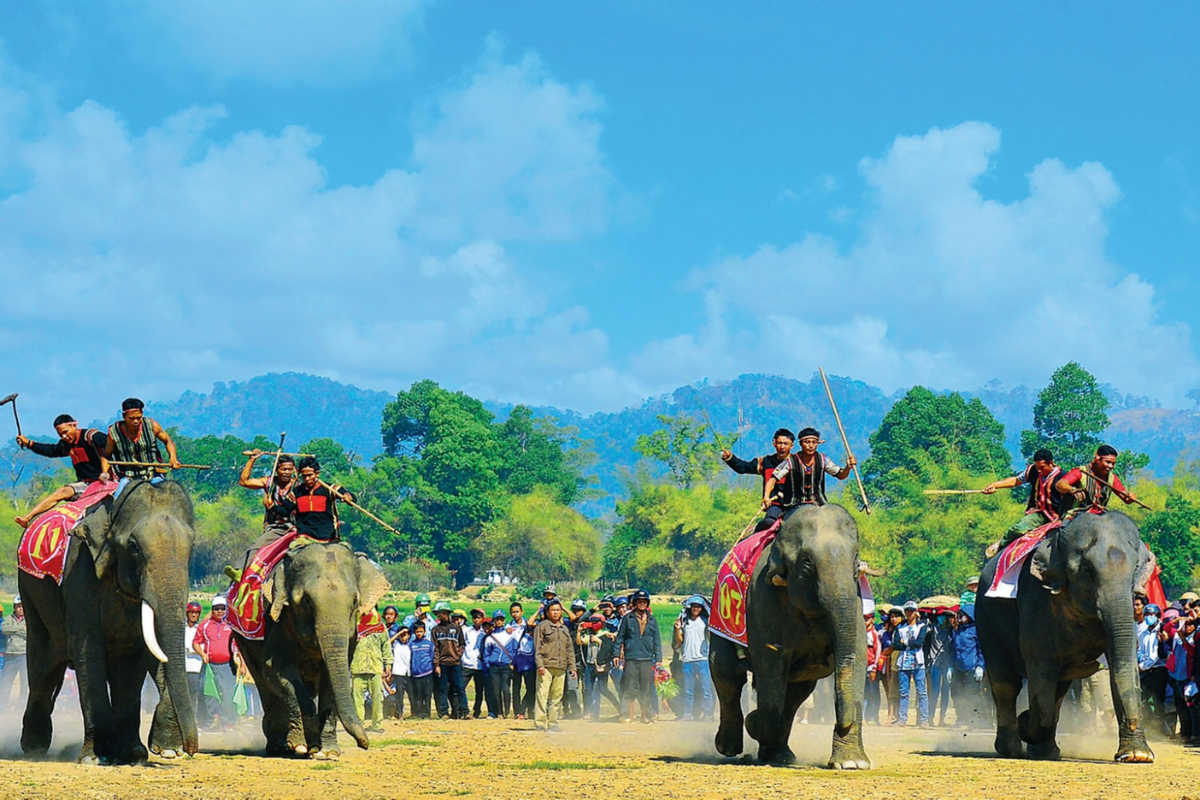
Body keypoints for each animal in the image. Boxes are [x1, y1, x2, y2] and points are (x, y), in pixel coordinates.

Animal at [18, 479, 199, 767]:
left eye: (191, 547)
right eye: (134, 547)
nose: (192, 749)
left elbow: (136, 662)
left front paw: (136, 754)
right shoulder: (79, 573)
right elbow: (88, 652)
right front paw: (96, 757)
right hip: (31, 597)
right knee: (42, 669)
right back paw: (34, 747)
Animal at [231, 537, 386, 758]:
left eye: (355, 601)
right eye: (306, 601)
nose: (365, 744)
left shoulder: (351, 636)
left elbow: (332, 680)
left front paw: (327, 752)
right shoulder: (276, 621)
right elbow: (276, 671)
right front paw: (303, 745)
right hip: (244, 638)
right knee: (264, 684)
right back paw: (279, 745)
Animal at [705, 506, 868, 767]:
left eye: (855, 559)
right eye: (807, 562)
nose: (841, 724)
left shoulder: (857, 600)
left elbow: (857, 660)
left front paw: (852, 763)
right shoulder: (764, 599)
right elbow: (771, 662)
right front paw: (754, 722)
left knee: (796, 692)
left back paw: (779, 755)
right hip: (719, 616)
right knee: (727, 673)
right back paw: (730, 747)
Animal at [979, 510, 1156, 767]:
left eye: (1135, 570)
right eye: (1088, 571)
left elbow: (1124, 666)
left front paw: (1137, 756)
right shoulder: (1036, 603)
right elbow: (1041, 670)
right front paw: (1025, 722)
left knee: (1059, 689)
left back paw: (1045, 751)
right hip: (986, 622)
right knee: (1005, 683)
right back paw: (1010, 748)